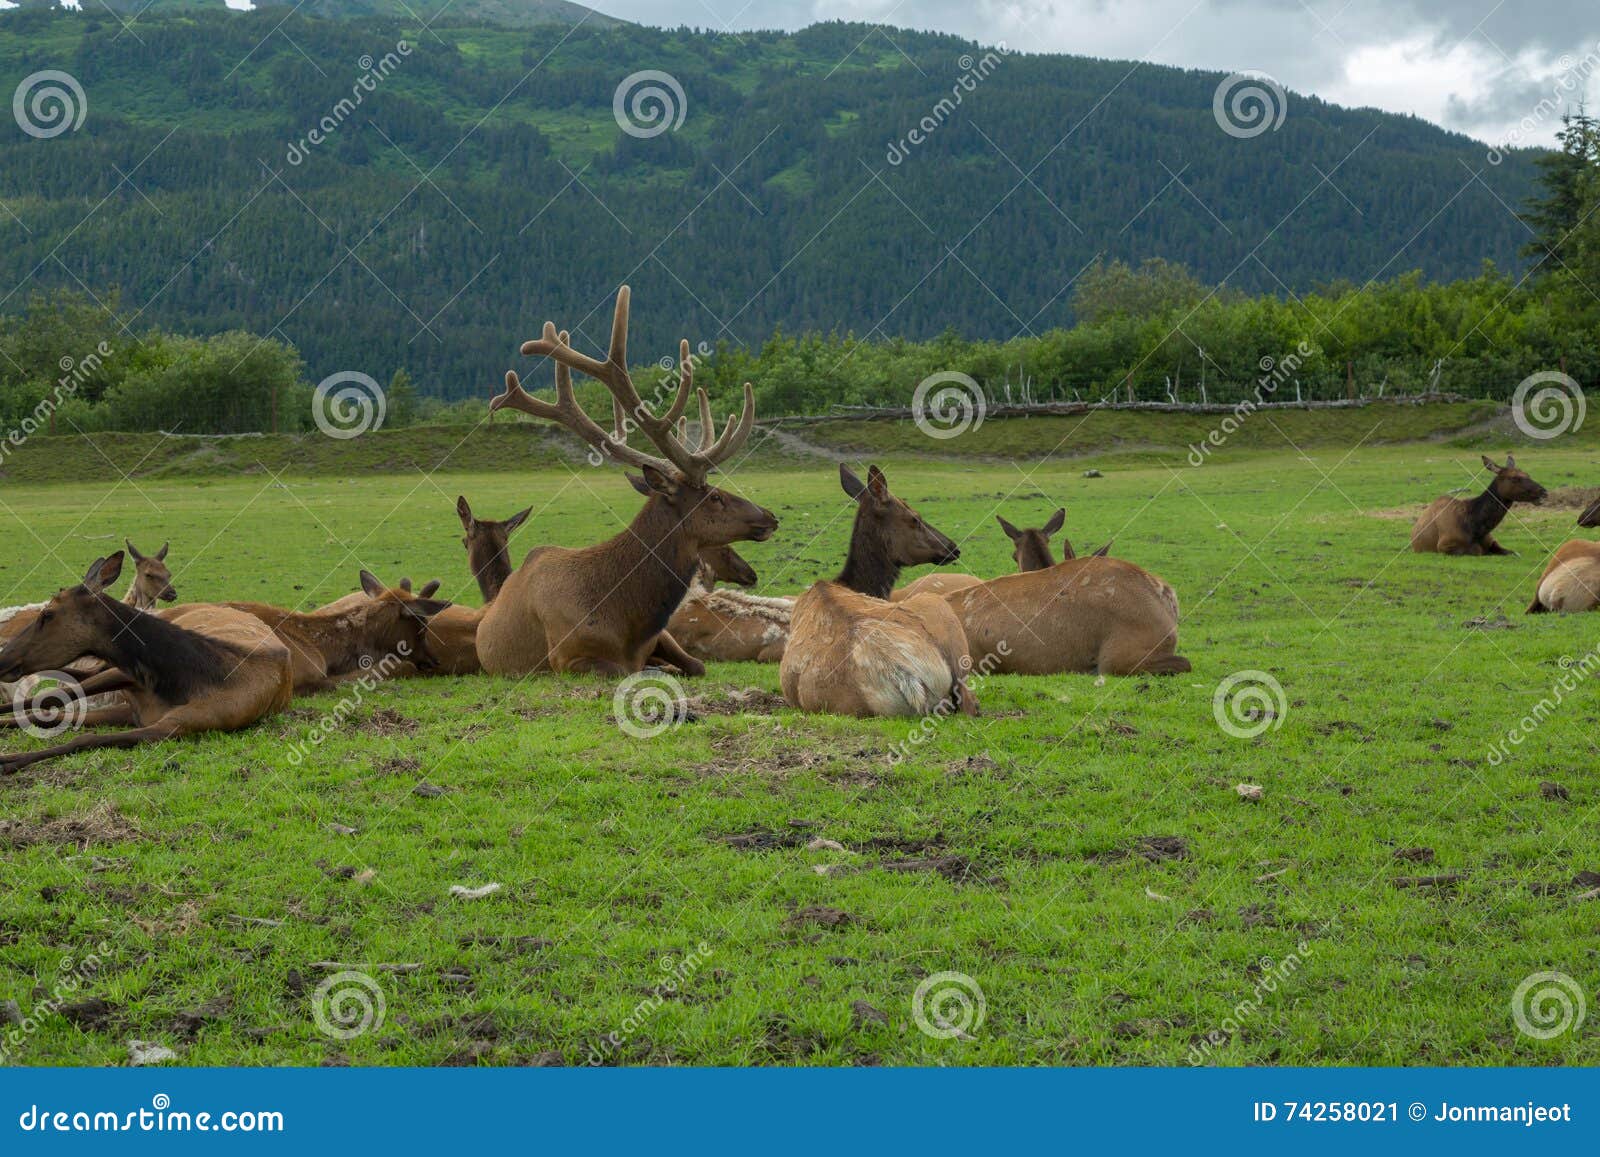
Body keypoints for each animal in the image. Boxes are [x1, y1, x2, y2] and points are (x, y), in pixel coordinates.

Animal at [0, 553, 294, 777]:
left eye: (47, 614)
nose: (3, 658)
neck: (182, 678)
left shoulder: (179, 724)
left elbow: (82, 735)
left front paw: (10, 759)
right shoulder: (127, 679)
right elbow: (51, 705)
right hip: (113, 673)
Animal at [476, 283, 777, 678]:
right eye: (713, 496)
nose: (770, 516)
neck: (624, 617)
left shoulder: (662, 637)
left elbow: (696, 665)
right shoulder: (567, 658)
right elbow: (634, 671)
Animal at [1414, 454, 1548, 560]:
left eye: (1528, 474)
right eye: (1515, 478)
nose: (1544, 492)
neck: (1476, 528)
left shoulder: (1493, 542)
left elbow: (1514, 552)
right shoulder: (1444, 546)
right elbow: (1476, 551)